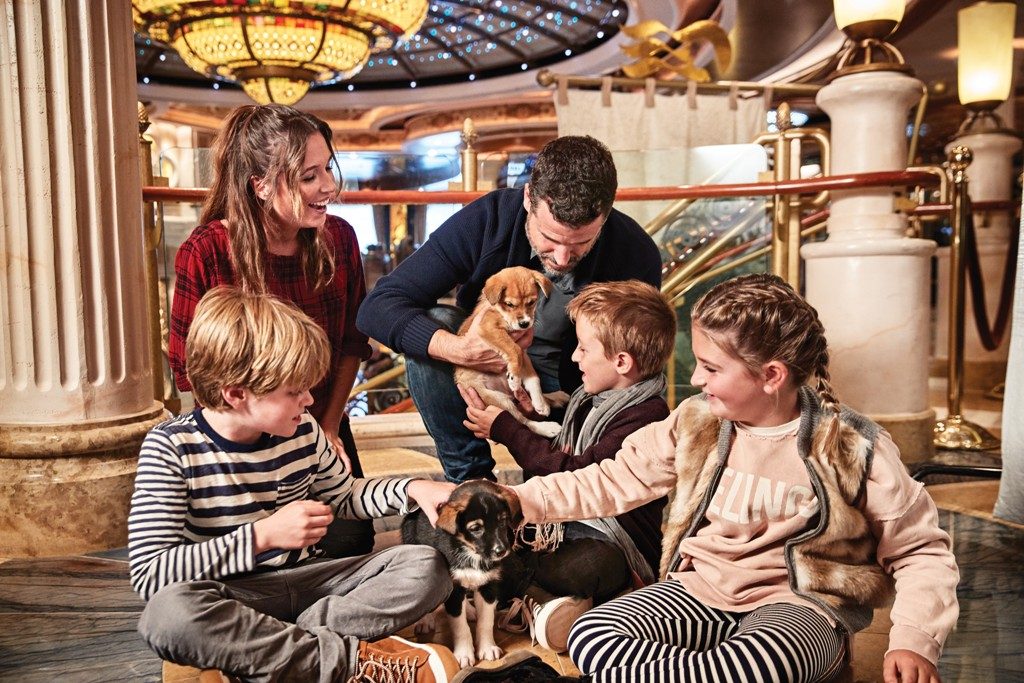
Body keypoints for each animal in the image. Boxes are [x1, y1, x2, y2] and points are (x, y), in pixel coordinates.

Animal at [397, 481, 528, 667]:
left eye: (502, 521)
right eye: (476, 528)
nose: (501, 551)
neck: (471, 552)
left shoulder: (488, 586)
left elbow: (486, 621)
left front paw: (487, 647)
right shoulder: (453, 588)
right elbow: (460, 626)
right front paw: (464, 654)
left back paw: (470, 610)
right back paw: (425, 621)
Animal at [456, 264, 569, 436]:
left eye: (532, 302)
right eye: (510, 304)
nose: (524, 324)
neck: (500, 311)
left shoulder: (524, 353)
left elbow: (534, 379)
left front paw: (540, 403)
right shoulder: (489, 328)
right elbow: (513, 349)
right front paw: (514, 378)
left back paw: (551, 399)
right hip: (498, 399)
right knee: (524, 421)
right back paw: (548, 427)